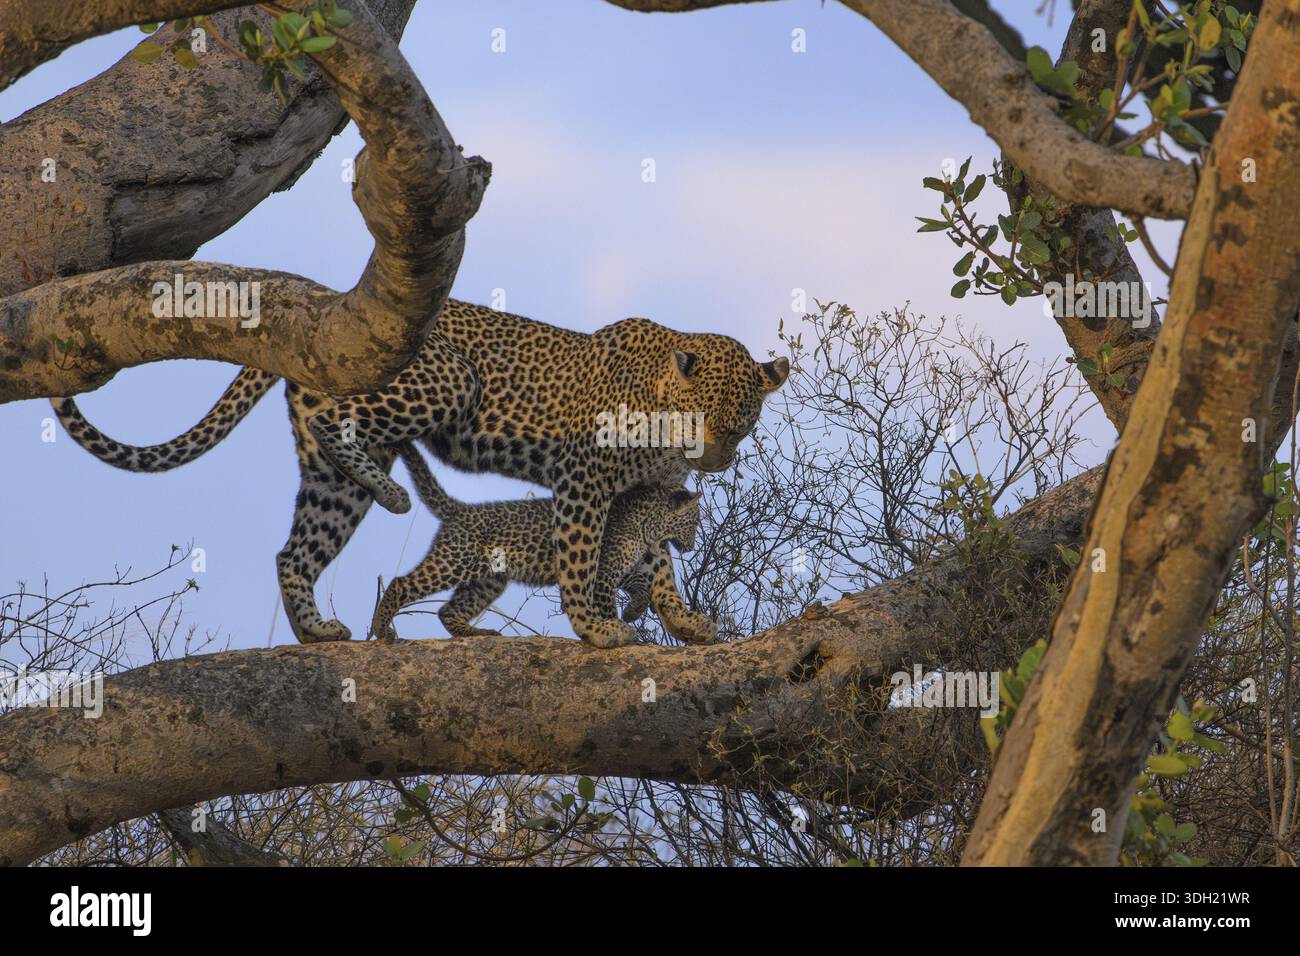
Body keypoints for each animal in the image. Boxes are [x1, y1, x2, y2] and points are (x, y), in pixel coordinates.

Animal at [370, 443, 710, 644]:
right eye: (693, 523)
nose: (693, 545)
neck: (647, 529)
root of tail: (461, 508)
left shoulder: (625, 568)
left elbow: (641, 587)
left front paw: (631, 612)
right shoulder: (604, 570)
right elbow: (603, 603)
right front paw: (613, 628)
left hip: (488, 580)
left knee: (448, 611)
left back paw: (477, 632)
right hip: (453, 561)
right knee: (402, 583)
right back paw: (383, 630)